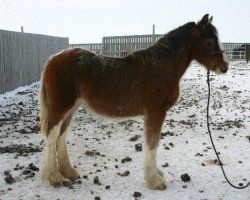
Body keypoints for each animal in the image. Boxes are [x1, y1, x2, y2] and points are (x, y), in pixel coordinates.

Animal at [39, 14, 229, 191]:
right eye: (210, 40)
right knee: (52, 136)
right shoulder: (156, 112)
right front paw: (155, 181)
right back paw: (54, 177)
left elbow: (152, 143)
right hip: (61, 107)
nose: (224, 66)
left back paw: (68, 172)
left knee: (62, 135)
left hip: (72, 107)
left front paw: (156, 174)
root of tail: (51, 60)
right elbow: (152, 143)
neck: (162, 68)